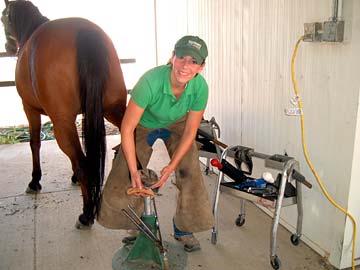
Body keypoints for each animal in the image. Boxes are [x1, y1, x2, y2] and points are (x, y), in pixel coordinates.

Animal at [1, 0, 128, 228]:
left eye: (2, 17)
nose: (8, 48)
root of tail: (84, 31)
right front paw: (73, 178)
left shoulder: (29, 109)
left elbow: (35, 143)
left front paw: (35, 180)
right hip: (112, 108)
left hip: (61, 123)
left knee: (84, 163)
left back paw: (86, 215)